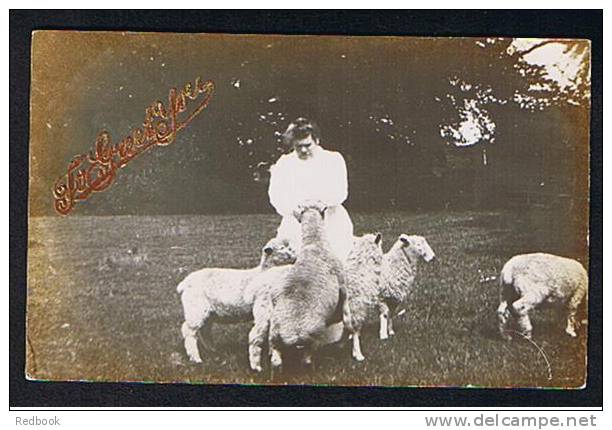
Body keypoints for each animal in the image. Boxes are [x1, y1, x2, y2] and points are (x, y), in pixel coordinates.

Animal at [266, 200, 352, 372]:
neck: (314, 244)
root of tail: (291, 332)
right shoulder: (343, 287)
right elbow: (347, 319)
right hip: (312, 340)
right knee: (306, 361)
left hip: (274, 339)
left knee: (276, 362)